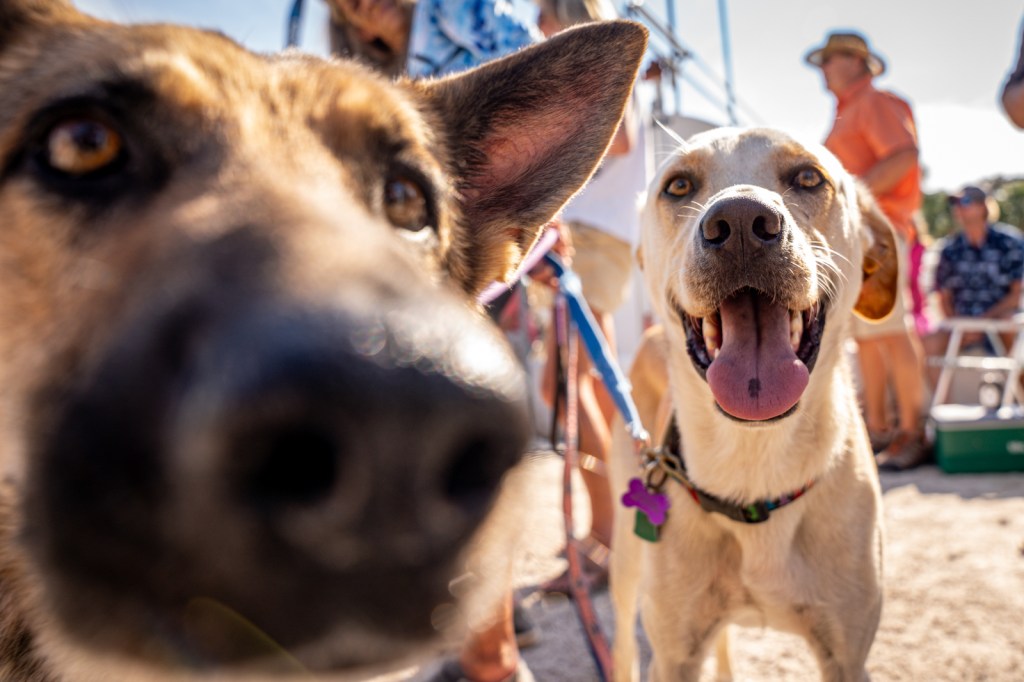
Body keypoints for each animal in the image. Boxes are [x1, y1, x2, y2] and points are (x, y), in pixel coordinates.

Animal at [609, 127, 899, 681]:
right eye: (679, 185)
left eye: (808, 176)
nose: (741, 222)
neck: (754, 465)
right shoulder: (673, 656)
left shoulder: (848, 655)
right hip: (626, 560)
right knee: (622, 641)